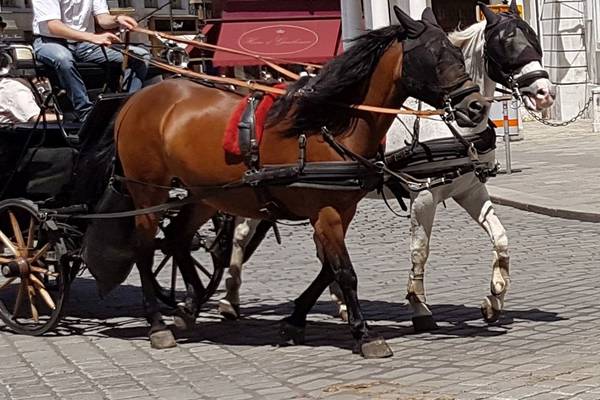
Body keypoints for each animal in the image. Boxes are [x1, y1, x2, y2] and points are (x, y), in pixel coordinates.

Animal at [115, 6, 489, 356]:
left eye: (458, 56)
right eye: (435, 58)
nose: (476, 107)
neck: (327, 126)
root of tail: (136, 101)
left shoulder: (341, 211)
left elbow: (329, 269)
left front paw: (295, 320)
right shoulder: (330, 212)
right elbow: (344, 271)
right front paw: (366, 334)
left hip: (205, 194)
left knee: (177, 238)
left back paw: (188, 308)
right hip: (148, 192)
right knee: (145, 247)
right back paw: (159, 323)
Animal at [217, 1, 556, 331]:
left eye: (533, 38)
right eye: (505, 42)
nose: (545, 94)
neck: (445, 125)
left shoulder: (469, 189)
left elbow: (501, 238)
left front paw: (494, 298)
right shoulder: (423, 193)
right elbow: (420, 250)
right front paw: (419, 306)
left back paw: (339, 303)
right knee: (242, 234)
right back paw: (230, 298)